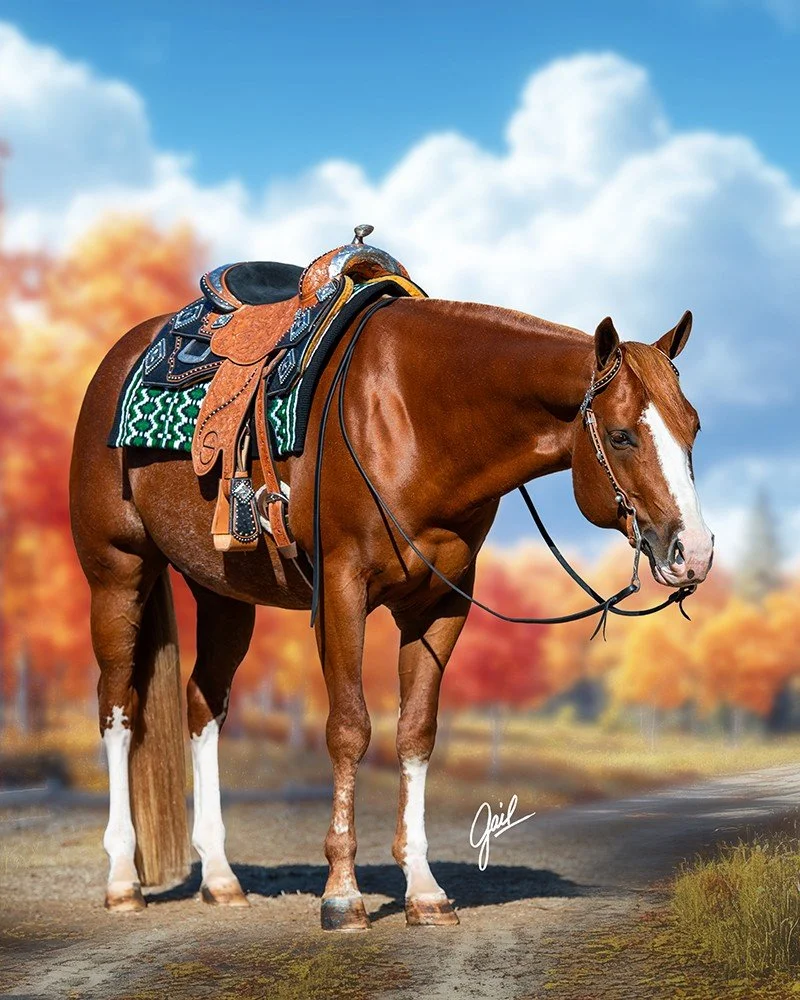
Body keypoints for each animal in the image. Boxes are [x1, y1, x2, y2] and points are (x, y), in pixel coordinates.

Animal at [69, 292, 714, 930]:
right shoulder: (340, 592)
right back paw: (122, 879)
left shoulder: (442, 604)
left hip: (224, 595)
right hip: (118, 575)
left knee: (203, 706)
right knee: (117, 709)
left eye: (694, 427)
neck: (414, 418)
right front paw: (342, 893)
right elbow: (349, 729)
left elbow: (416, 733)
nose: (695, 553)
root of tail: (117, 359)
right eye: (623, 435)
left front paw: (424, 890)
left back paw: (221, 878)